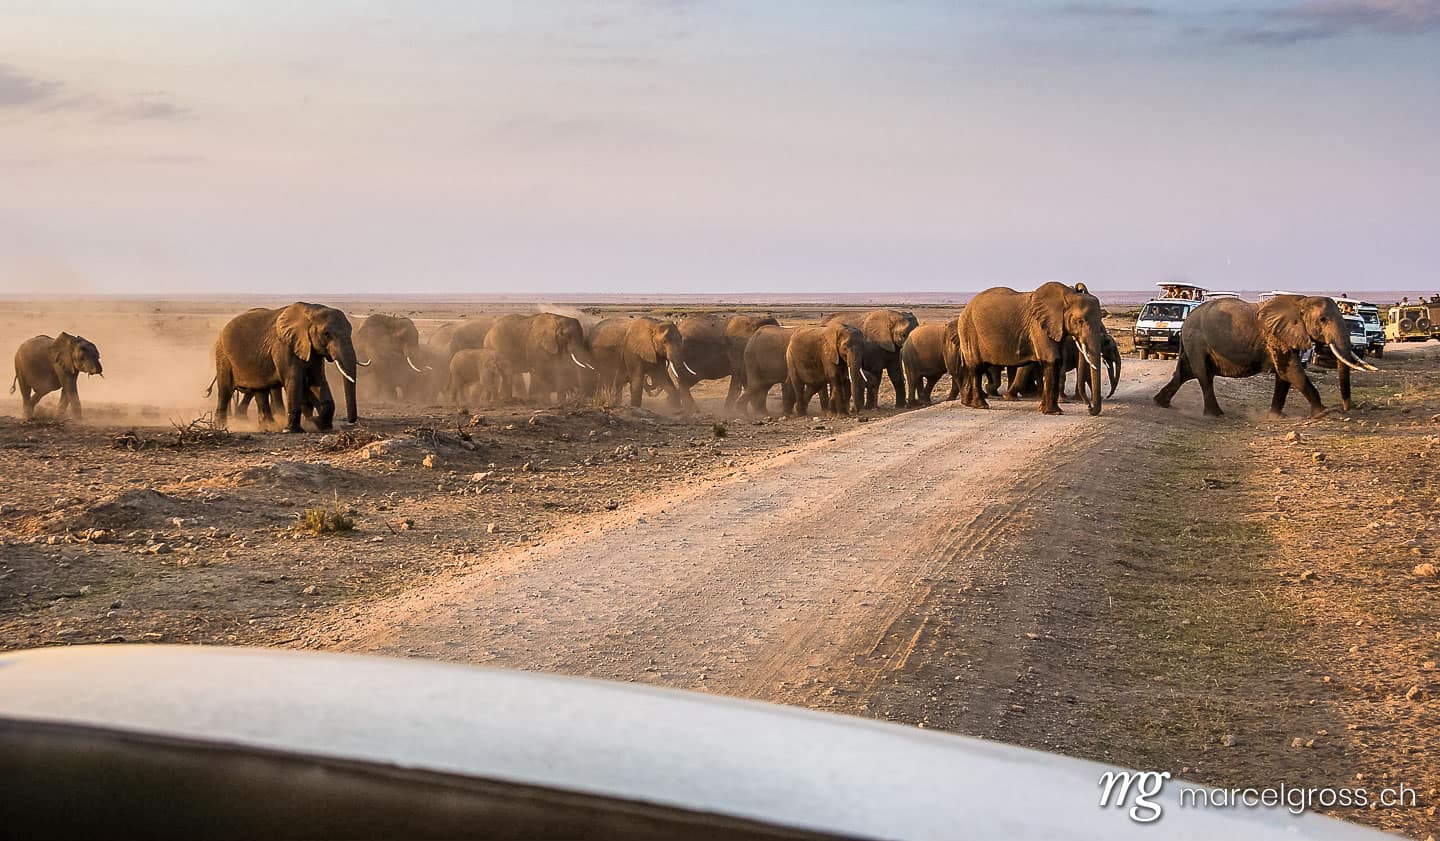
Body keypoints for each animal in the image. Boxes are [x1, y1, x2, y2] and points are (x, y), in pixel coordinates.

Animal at [212, 302, 359, 432]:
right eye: (327, 333)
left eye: (350, 332)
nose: (350, 421)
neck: (311, 310)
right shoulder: (283, 347)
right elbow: (294, 380)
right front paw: (292, 430)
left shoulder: (312, 350)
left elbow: (318, 380)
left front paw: (317, 424)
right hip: (223, 355)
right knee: (225, 390)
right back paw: (221, 427)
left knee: (260, 390)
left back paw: (269, 427)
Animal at [957, 282, 1108, 416]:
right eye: (1080, 321)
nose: (1089, 407)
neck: (1067, 294)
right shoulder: (1038, 327)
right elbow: (1052, 361)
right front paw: (1054, 412)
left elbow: (1057, 363)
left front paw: (1045, 410)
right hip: (969, 331)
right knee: (976, 368)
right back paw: (981, 405)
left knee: (974, 367)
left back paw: (967, 403)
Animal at [1154, 295, 1376, 418]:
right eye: (1322, 319)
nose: (1346, 409)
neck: (1300, 301)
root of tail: (1186, 322)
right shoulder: (1276, 336)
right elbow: (1292, 371)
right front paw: (1322, 413)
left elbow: (1284, 375)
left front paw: (1276, 416)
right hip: (1197, 341)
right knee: (1203, 375)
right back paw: (1215, 415)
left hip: (1193, 343)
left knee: (1185, 373)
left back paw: (1161, 403)